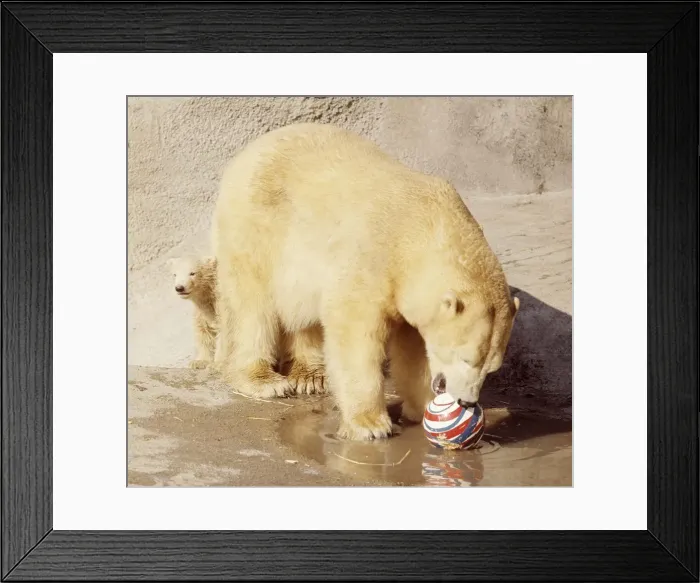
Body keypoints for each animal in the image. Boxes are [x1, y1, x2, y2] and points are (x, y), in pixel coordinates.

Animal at [211, 123, 519, 441]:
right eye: (467, 359)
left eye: (491, 368)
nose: (466, 402)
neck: (419, 227)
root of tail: (250, 150)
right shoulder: (370, 258)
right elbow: (355, 333)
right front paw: (370, 424)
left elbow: (413, 348)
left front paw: (422, 406)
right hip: (259, 224)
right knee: (251, 304)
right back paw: (262, 379)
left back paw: (311, 375)